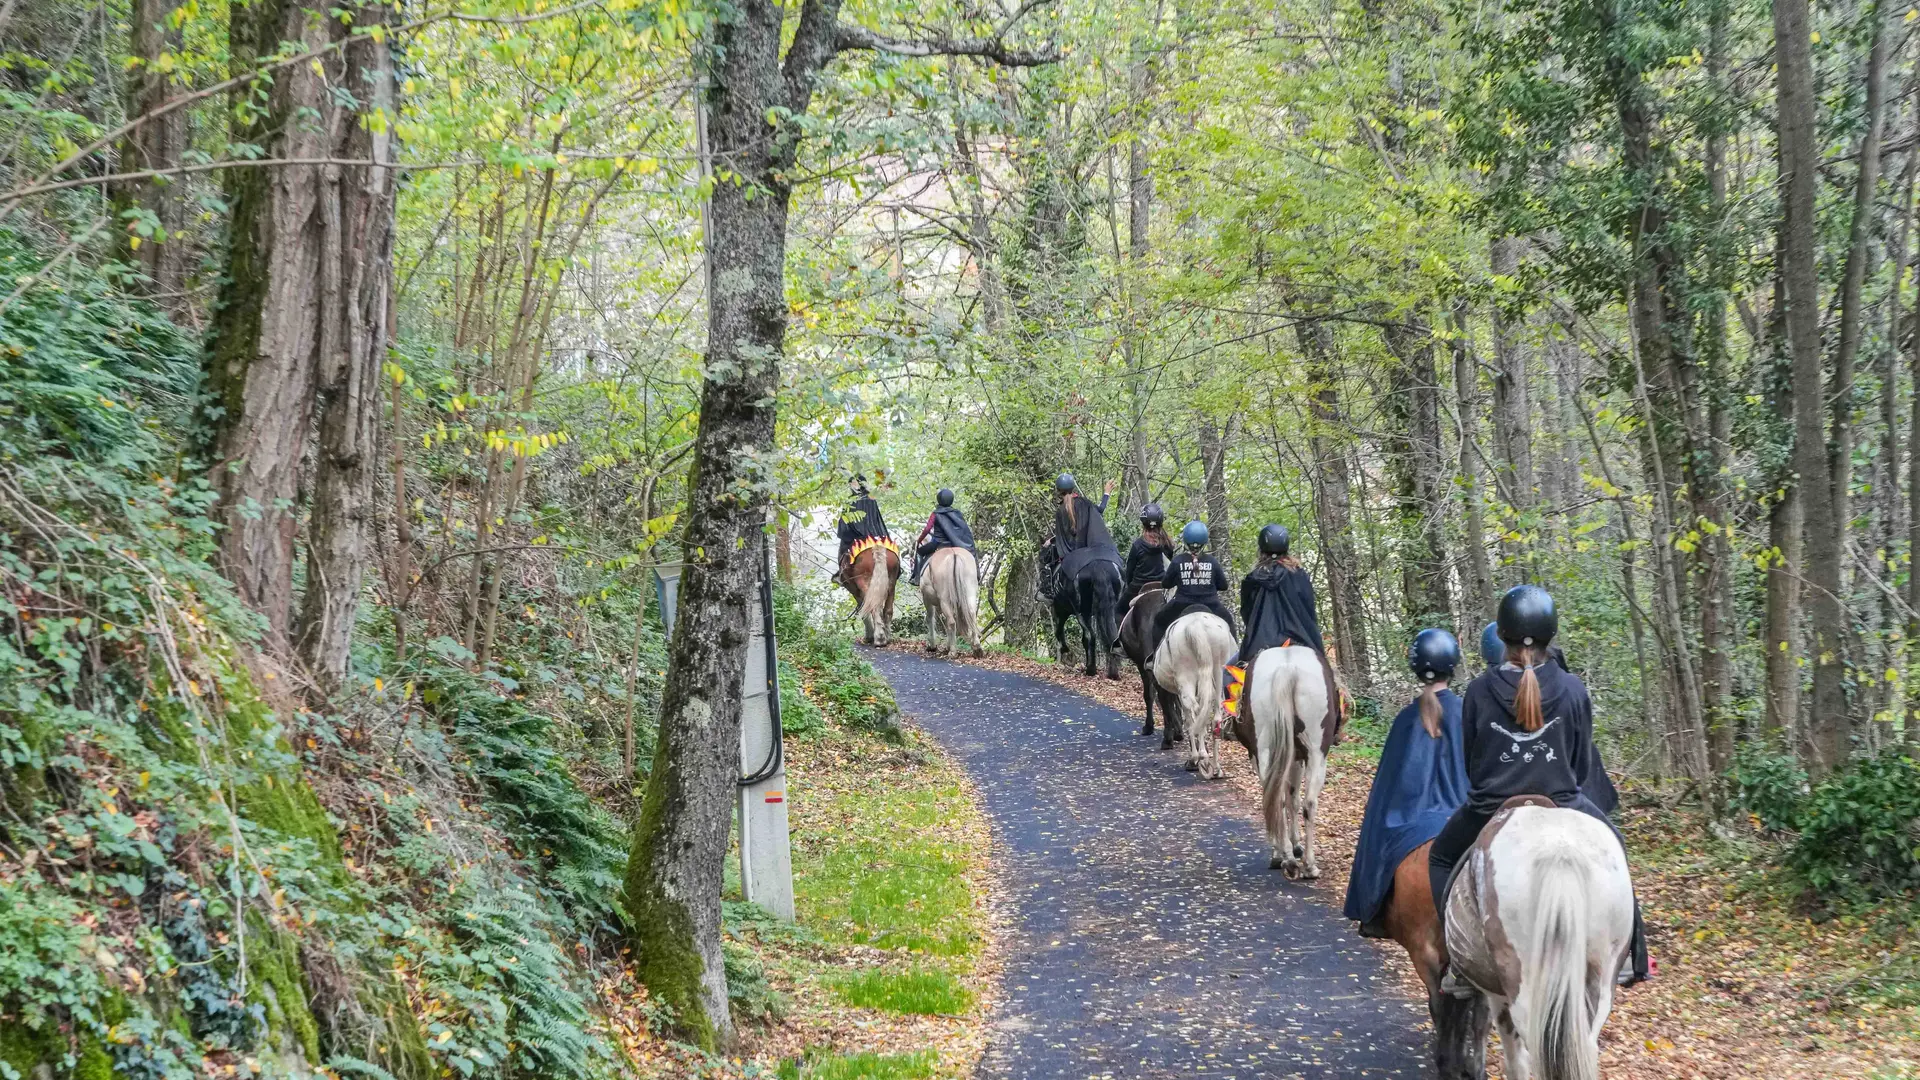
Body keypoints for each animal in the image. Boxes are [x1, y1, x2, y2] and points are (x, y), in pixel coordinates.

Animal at [1152, 611, 1228, 776]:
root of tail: (1196, 624)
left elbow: (1185, 719)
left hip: (1185, 677)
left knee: (1195, 712)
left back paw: (1200, 758)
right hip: (1219, 672)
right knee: (1215, 718)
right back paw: (1215, 767)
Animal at [1244, 638, 1336, 876]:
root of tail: (1287, 669)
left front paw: (1287, 849)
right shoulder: (1298, 758)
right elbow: (1293, 799)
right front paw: (1295, 847)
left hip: (1267, 750)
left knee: (1276, 799)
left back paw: (1285, 858)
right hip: (1316, 752)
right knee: (1307, 802)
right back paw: (1306, 864)